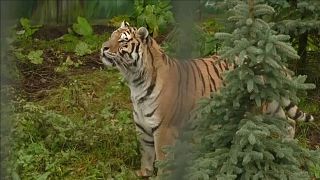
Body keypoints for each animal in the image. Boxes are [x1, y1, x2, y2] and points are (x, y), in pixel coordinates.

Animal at [100, 21, 316, 177]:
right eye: (111, 36)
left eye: (123, 41)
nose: (103, 48)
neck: (135, 81)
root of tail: (272, 57)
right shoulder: (143, 127)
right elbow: (146, 155)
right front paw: (143, 174)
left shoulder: (163, 129)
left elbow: (162, 159)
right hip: (273, 105)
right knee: (289, 123)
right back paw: (286, 150)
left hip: (258, 107)